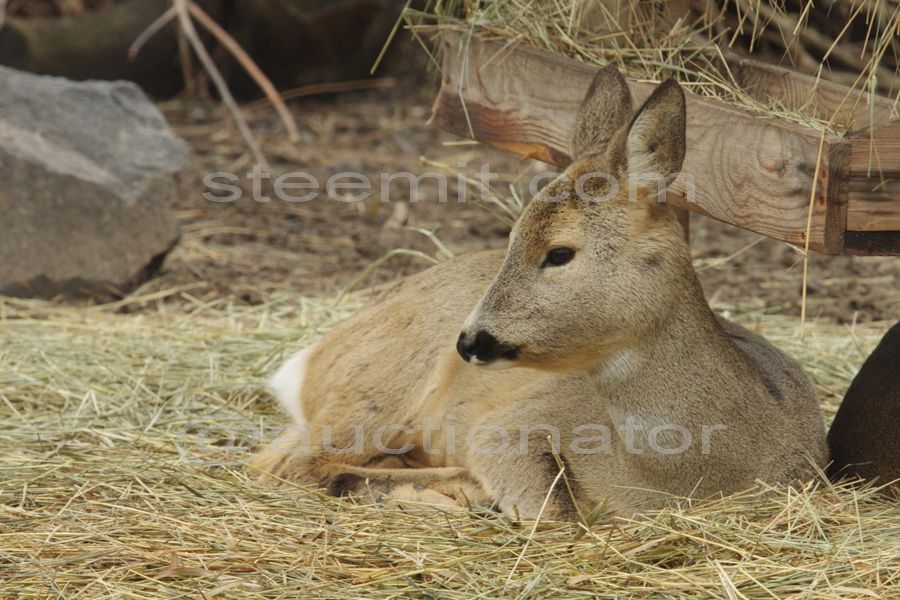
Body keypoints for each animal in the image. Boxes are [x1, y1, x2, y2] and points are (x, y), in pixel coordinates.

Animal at [248, 64, 836, 516]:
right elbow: (556, 514)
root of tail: (309, 357)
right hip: (378, 390)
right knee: (286, 462)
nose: (469, 341)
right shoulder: (509, 424)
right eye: (509, 237)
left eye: (559, 253)